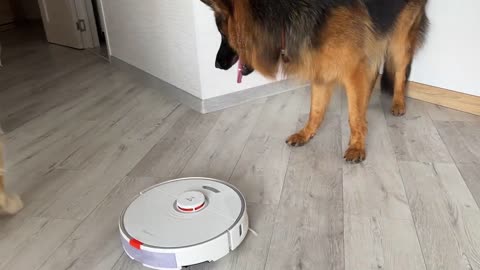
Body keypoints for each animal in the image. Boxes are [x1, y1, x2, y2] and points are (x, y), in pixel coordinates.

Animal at [199, 0, 428, 161]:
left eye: (223, 33)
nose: (216, 64)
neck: (286, 16)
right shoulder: (322, 70)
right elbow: (316, 110)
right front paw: (306, 133)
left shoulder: (353, 68)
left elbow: (353, 116)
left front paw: (356, 145)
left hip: (399, 41)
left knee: (400, 71)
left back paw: (398, 103)